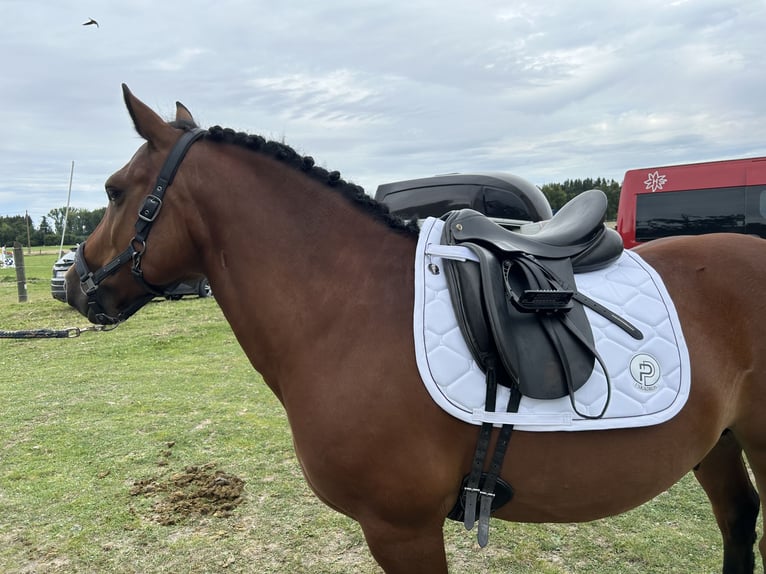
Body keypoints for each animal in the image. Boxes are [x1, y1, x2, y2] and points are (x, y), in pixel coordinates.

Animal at [65, 84, 766, 574]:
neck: (347, 309)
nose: (73, 282)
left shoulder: (402, 530)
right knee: (738, 520)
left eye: (114, 190)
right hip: (715, 442)